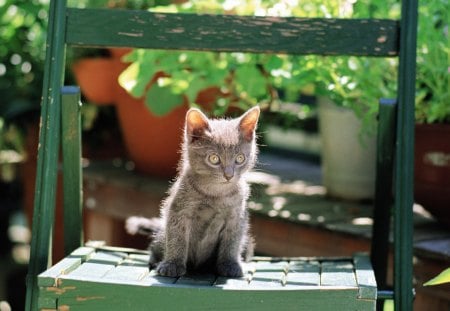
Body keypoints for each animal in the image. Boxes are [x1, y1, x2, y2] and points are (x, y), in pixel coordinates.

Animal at [126, 106, 260, 278]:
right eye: (214, 159)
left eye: (240, 159)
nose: (229, 175)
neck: (215, 194)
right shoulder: (179, 211)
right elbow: (177, 237)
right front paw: (173, 264)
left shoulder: (236, 216)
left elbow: (232, 241)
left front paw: (230, 264)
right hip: (161, 235)